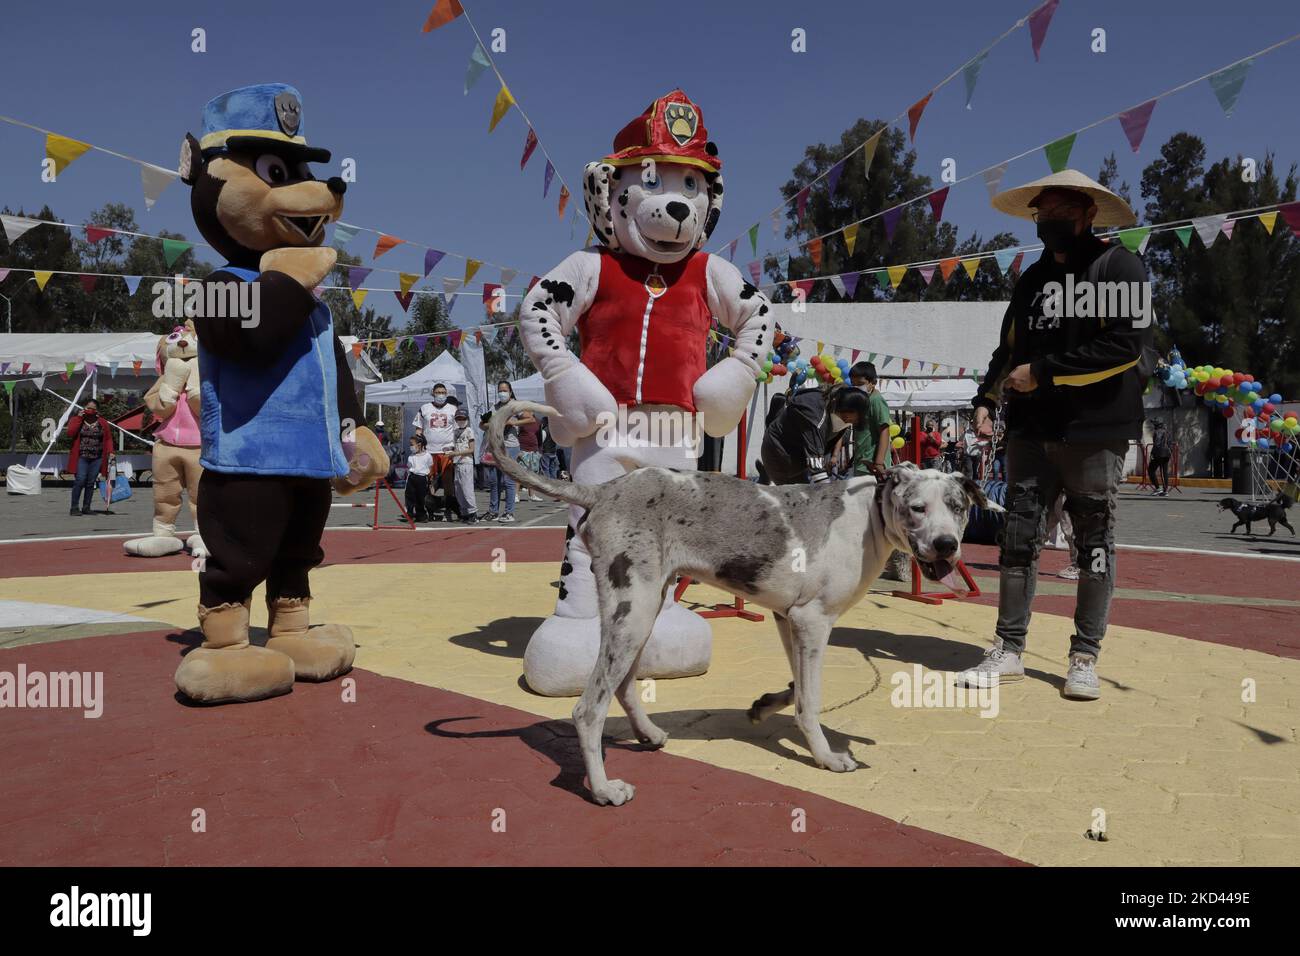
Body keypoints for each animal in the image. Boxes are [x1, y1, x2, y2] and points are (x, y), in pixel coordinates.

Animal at [488, 400, 993, 806]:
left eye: (957, 506)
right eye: (917, 508)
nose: (947, 545)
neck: (869, 518)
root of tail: (605, 489)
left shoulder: (788, 619)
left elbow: (798, 688)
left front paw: (766, 704)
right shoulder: (813, 622)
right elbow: (811, 700)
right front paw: (827, 757)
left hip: (643, 609)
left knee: (625, 684)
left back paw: (648, 734)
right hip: (632, 611)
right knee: (588, 709)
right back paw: (602, 788)